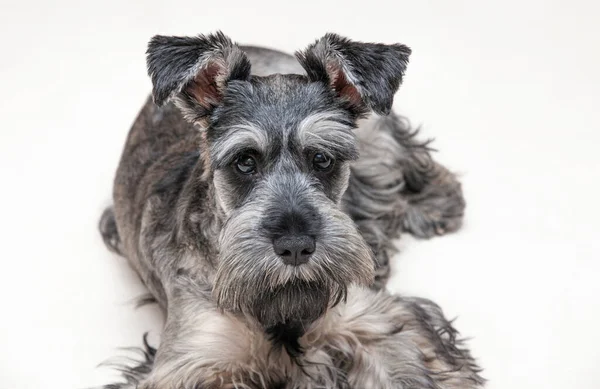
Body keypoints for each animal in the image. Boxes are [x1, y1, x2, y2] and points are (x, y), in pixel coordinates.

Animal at [99, 31, 482, 386]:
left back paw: (437, 203)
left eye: (323, 158)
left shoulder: (376, 321)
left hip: (373, 138)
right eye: (244, 161)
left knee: (404, 154)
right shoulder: (196, 359)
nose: (296, 246)